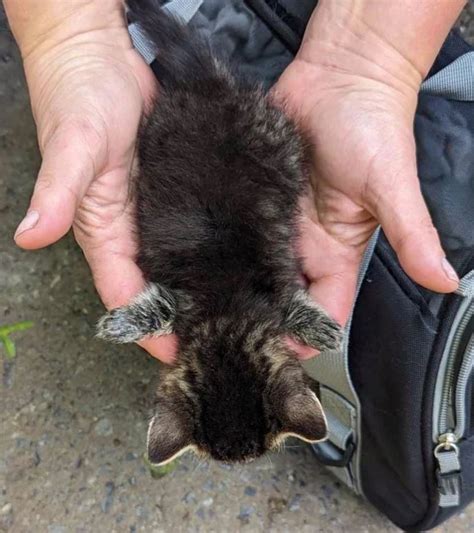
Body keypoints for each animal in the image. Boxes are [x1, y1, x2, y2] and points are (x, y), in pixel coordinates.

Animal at [97, 0, 340, 466]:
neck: (228, 316)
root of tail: (214, 88)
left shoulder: (270, 292)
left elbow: (292, 303)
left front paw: (319, 326)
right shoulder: (186, 299)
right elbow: (158, 307)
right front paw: (123, 324)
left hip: (277, 139)